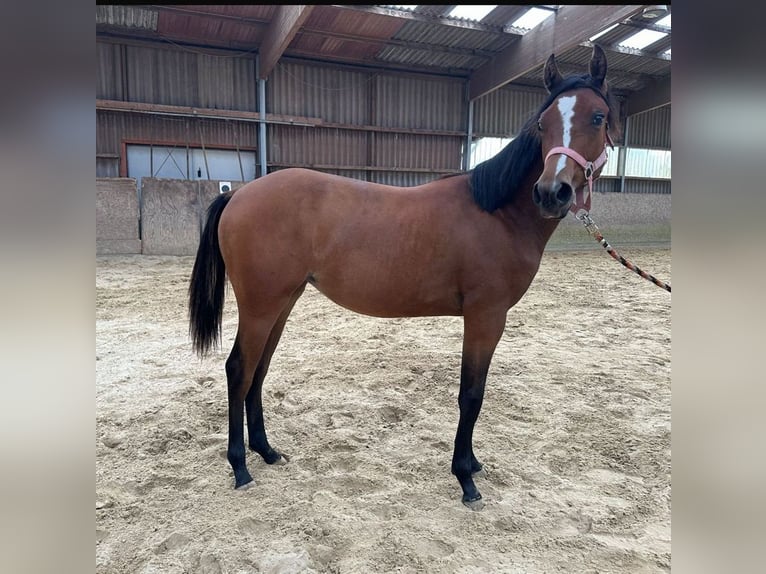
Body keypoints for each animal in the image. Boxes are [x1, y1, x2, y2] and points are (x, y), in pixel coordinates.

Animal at [188, 45, 618, 509]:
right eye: (543, 124)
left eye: (597, 117)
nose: (551, 193)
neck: (498, 212)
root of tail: (238, 194)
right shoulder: (486, 317)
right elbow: (472, 394)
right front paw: (465, 479)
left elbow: (475, 391)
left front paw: (473, 465)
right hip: (261, 305)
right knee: (239, 370)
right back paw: (240, 467)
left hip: (282, 303)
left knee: (259, 370)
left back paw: (266, 451)